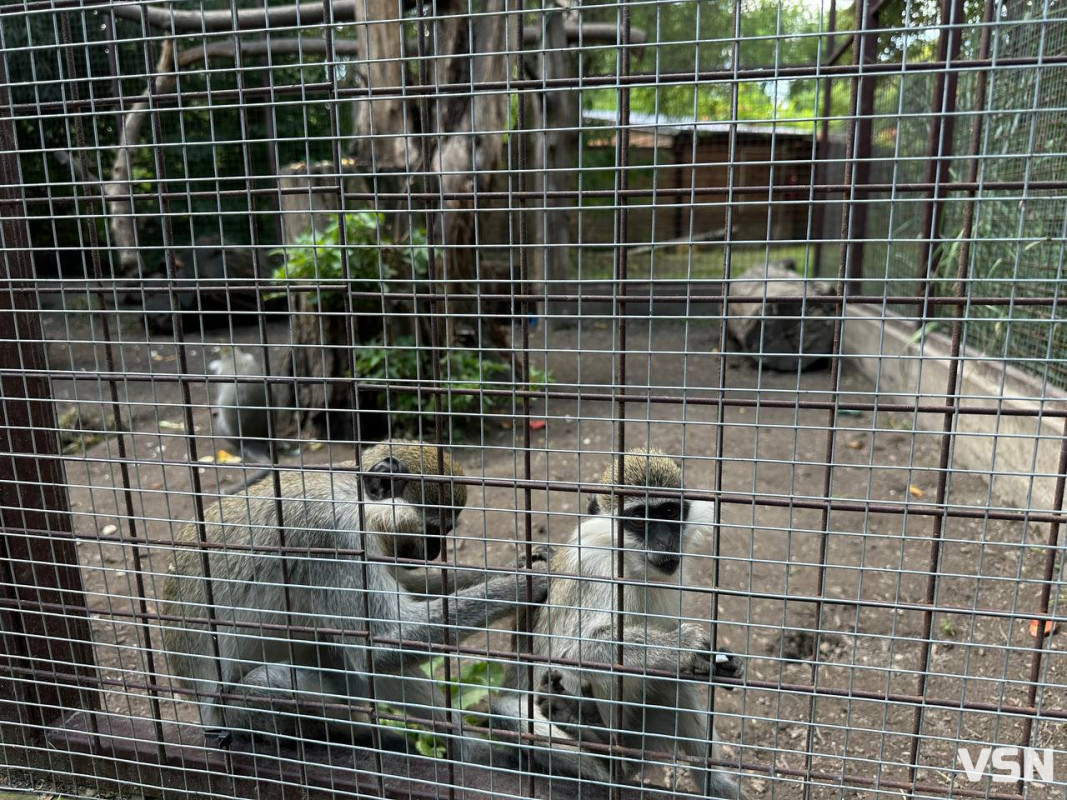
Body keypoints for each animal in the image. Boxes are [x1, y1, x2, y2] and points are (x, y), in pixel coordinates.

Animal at [160, 441, 550, 755]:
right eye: (435, 530)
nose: (435, 552)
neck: (352, 493)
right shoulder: (332, 534)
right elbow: (380, 644)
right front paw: (525, 584)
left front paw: (520, 565)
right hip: (234, 717)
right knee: (273, 683)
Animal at [471, 454, 746, 797]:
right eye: (639, 518)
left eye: (669, 512)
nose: (665, 543)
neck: (632, 566)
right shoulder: (600, 571)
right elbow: (576, 649)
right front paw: (687, 644)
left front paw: (725, 664)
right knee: (508, 711)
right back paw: (599, 747)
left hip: (640, 736)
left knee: (672, 683)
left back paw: (714, 784)